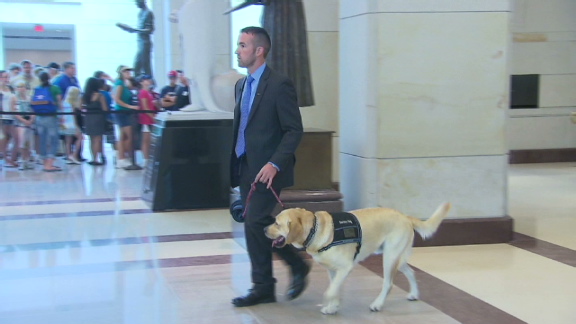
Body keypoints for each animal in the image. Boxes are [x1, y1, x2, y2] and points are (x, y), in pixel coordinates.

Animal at [264, 202, 450, 314]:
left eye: (277, 223)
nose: (264, 229)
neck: (315, 230)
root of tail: (405, 216)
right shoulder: (333, 270)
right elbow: (335, 288)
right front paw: (333, 306)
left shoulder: (345, 268)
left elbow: (330, 290)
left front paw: (329, 302)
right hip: (397, 257)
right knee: (411, 272)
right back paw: (414, 293)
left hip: (390, 257)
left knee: (388, 283)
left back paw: (377, 304)